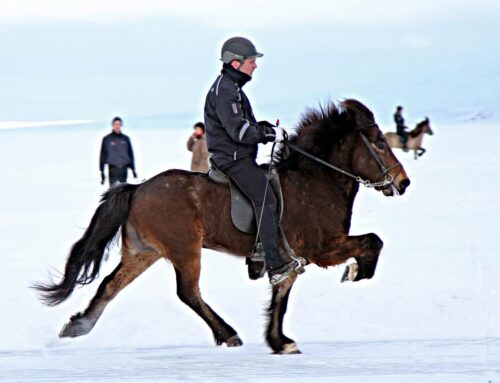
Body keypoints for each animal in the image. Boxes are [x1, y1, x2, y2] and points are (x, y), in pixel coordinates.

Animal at [34, 99, 410, 354]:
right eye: (379, 143)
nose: (403, 183)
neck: (315, 181)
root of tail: (137, 189)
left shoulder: (291, 256)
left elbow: (282, 294)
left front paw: (279, 341)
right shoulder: (322, 248)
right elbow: (372, 241)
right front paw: (356, 272)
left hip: (144, 252)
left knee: (111, 285)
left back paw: (78, 326)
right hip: (185, 249)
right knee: (188, 292)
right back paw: (228, 333)